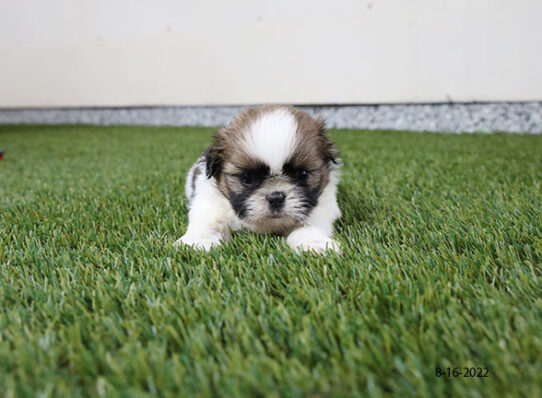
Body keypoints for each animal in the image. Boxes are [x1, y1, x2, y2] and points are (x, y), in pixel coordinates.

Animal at [176, 105, 342, 253]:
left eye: (302, 174)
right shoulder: (210, 203)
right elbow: (208, 222)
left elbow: (309, 225)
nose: (276, 197)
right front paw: (198, 242)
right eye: (248, 178)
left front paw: (314, 243)